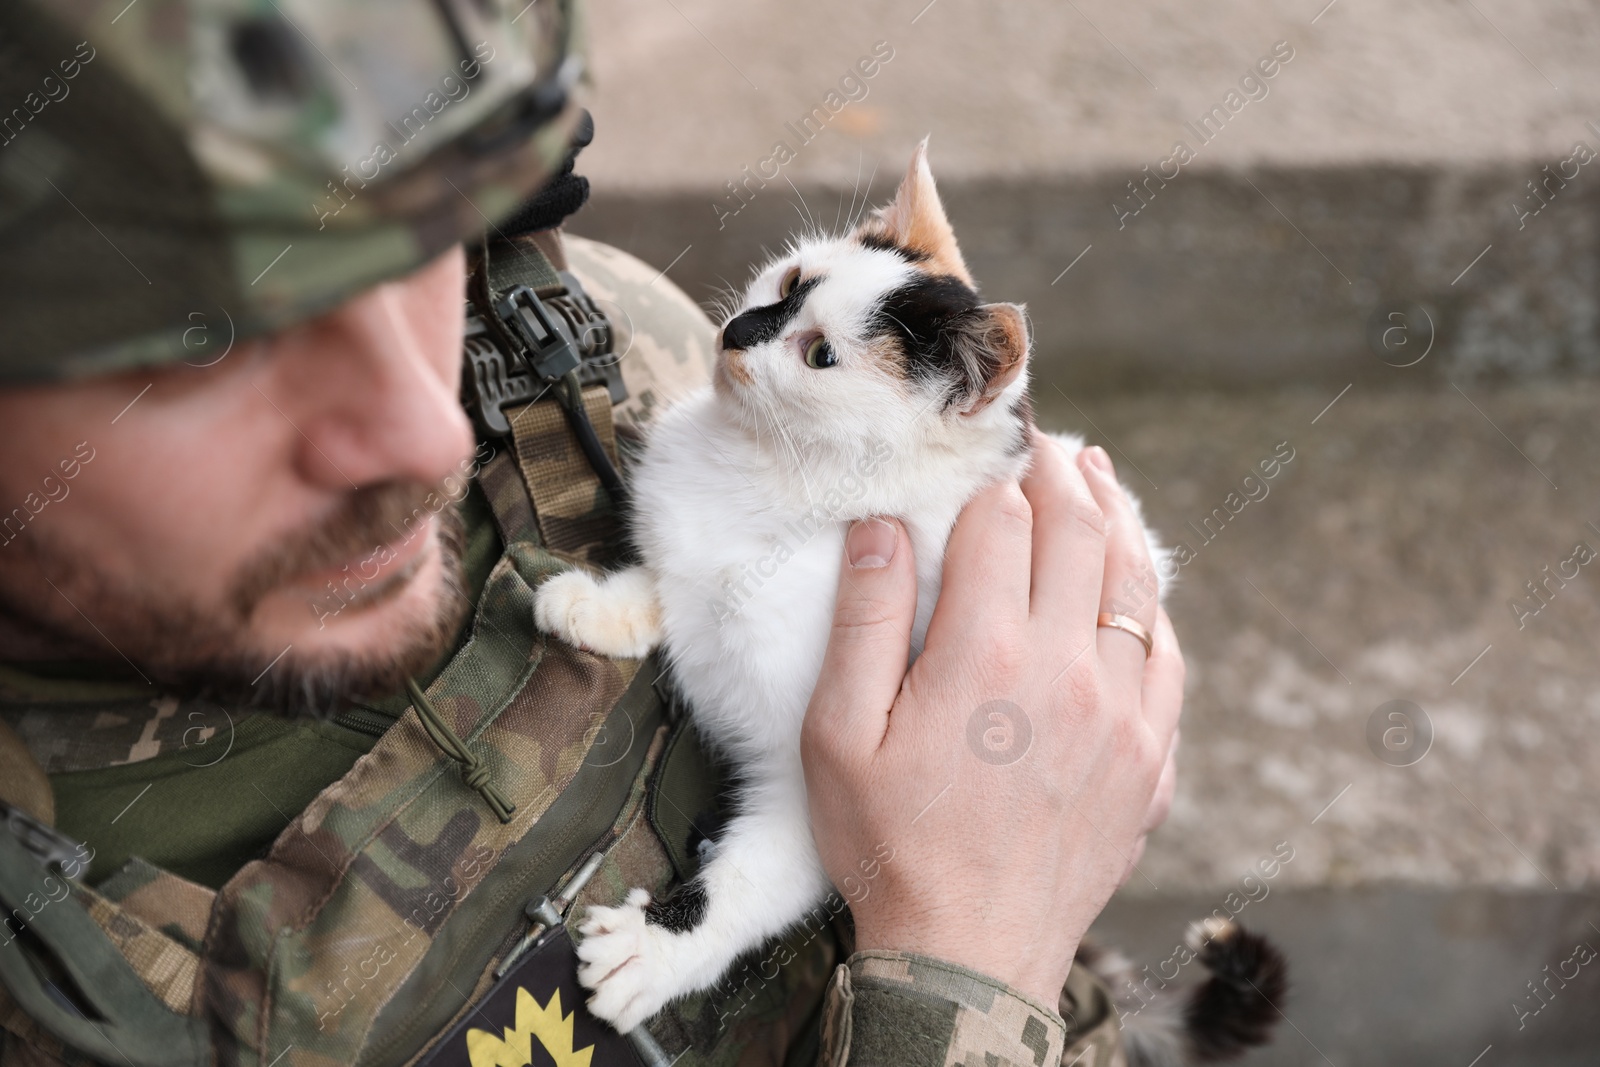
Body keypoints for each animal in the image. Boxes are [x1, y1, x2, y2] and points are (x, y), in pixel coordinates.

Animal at [537, 143, 1286, 1067]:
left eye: (820, 356)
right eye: (789, 282)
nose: (737, 331)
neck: (781, 485)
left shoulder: (815, 787)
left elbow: (749, 881)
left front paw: (655, 950)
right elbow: (671, 577)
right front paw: (597, 604)